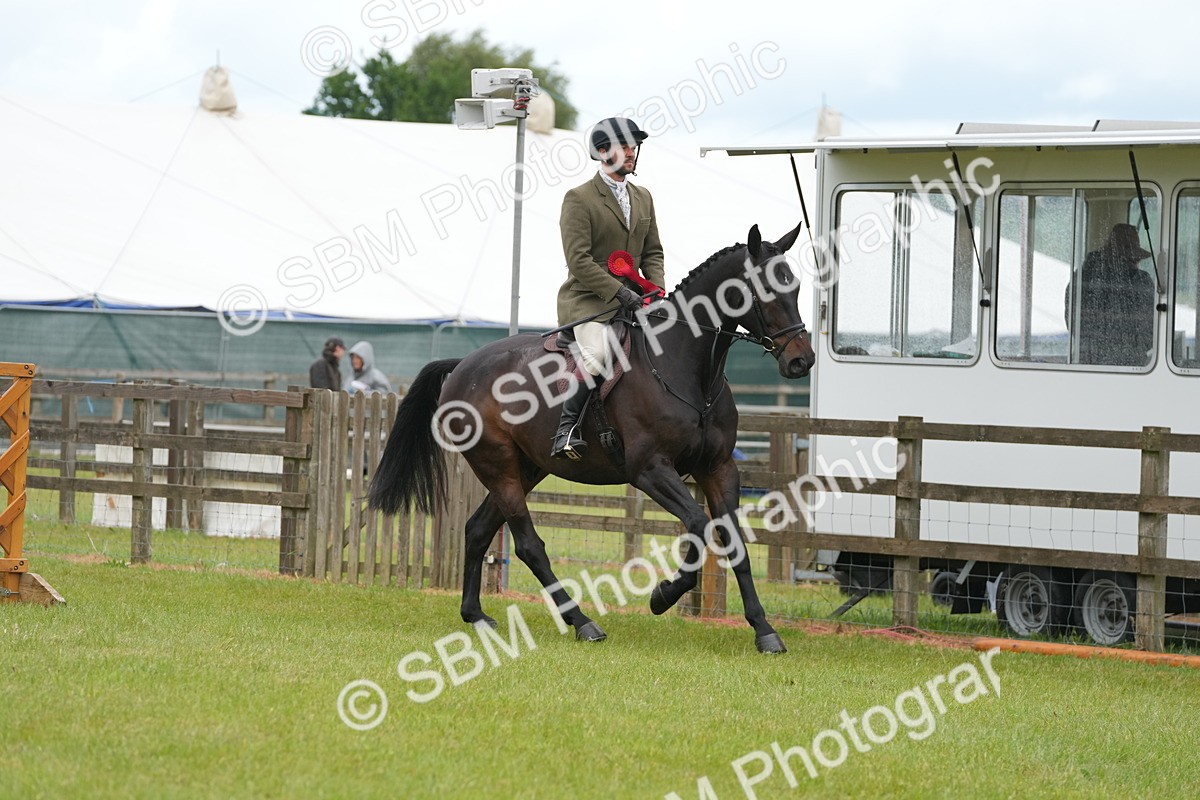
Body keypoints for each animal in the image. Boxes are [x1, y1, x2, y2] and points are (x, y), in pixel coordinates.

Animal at [368, 224, 815, 653]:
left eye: (795, 286)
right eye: (767, 289)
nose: (802, 360)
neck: (684, 365)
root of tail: (463, 365)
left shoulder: (718, 469)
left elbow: (734, 541)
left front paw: (764, 630)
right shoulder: (650, 470)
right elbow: (698, 523)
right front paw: (663, 596)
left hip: (526, 468)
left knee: (478, 530)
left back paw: (476, 616)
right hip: (498, 466)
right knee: (528, 544)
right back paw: (582, 622)